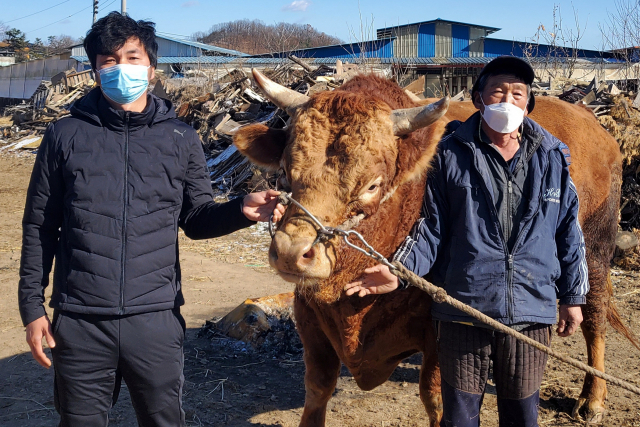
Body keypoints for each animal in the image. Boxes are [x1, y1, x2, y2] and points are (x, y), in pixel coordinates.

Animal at [232, 69, 632, 424]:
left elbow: (438, 399)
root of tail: (587, 118)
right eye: (285, 172)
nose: (290, 252)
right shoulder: (309, 318)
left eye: (372, 185)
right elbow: (317, 388)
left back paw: (593, 399)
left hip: (594, 248)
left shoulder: (447, 330)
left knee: (594, 316)